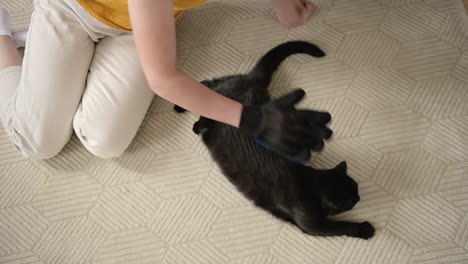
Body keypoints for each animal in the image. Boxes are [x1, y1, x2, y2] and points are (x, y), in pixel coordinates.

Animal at [176, 41, 376, 239]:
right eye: (351, 201)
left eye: (356, 189)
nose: (359, 197)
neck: (309, 183)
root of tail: (253, 80)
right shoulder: (313, 224)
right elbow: (341, 226)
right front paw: (365, 229)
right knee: (208, 90)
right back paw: (188, 114)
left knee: (210, 83)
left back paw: (181, 106)